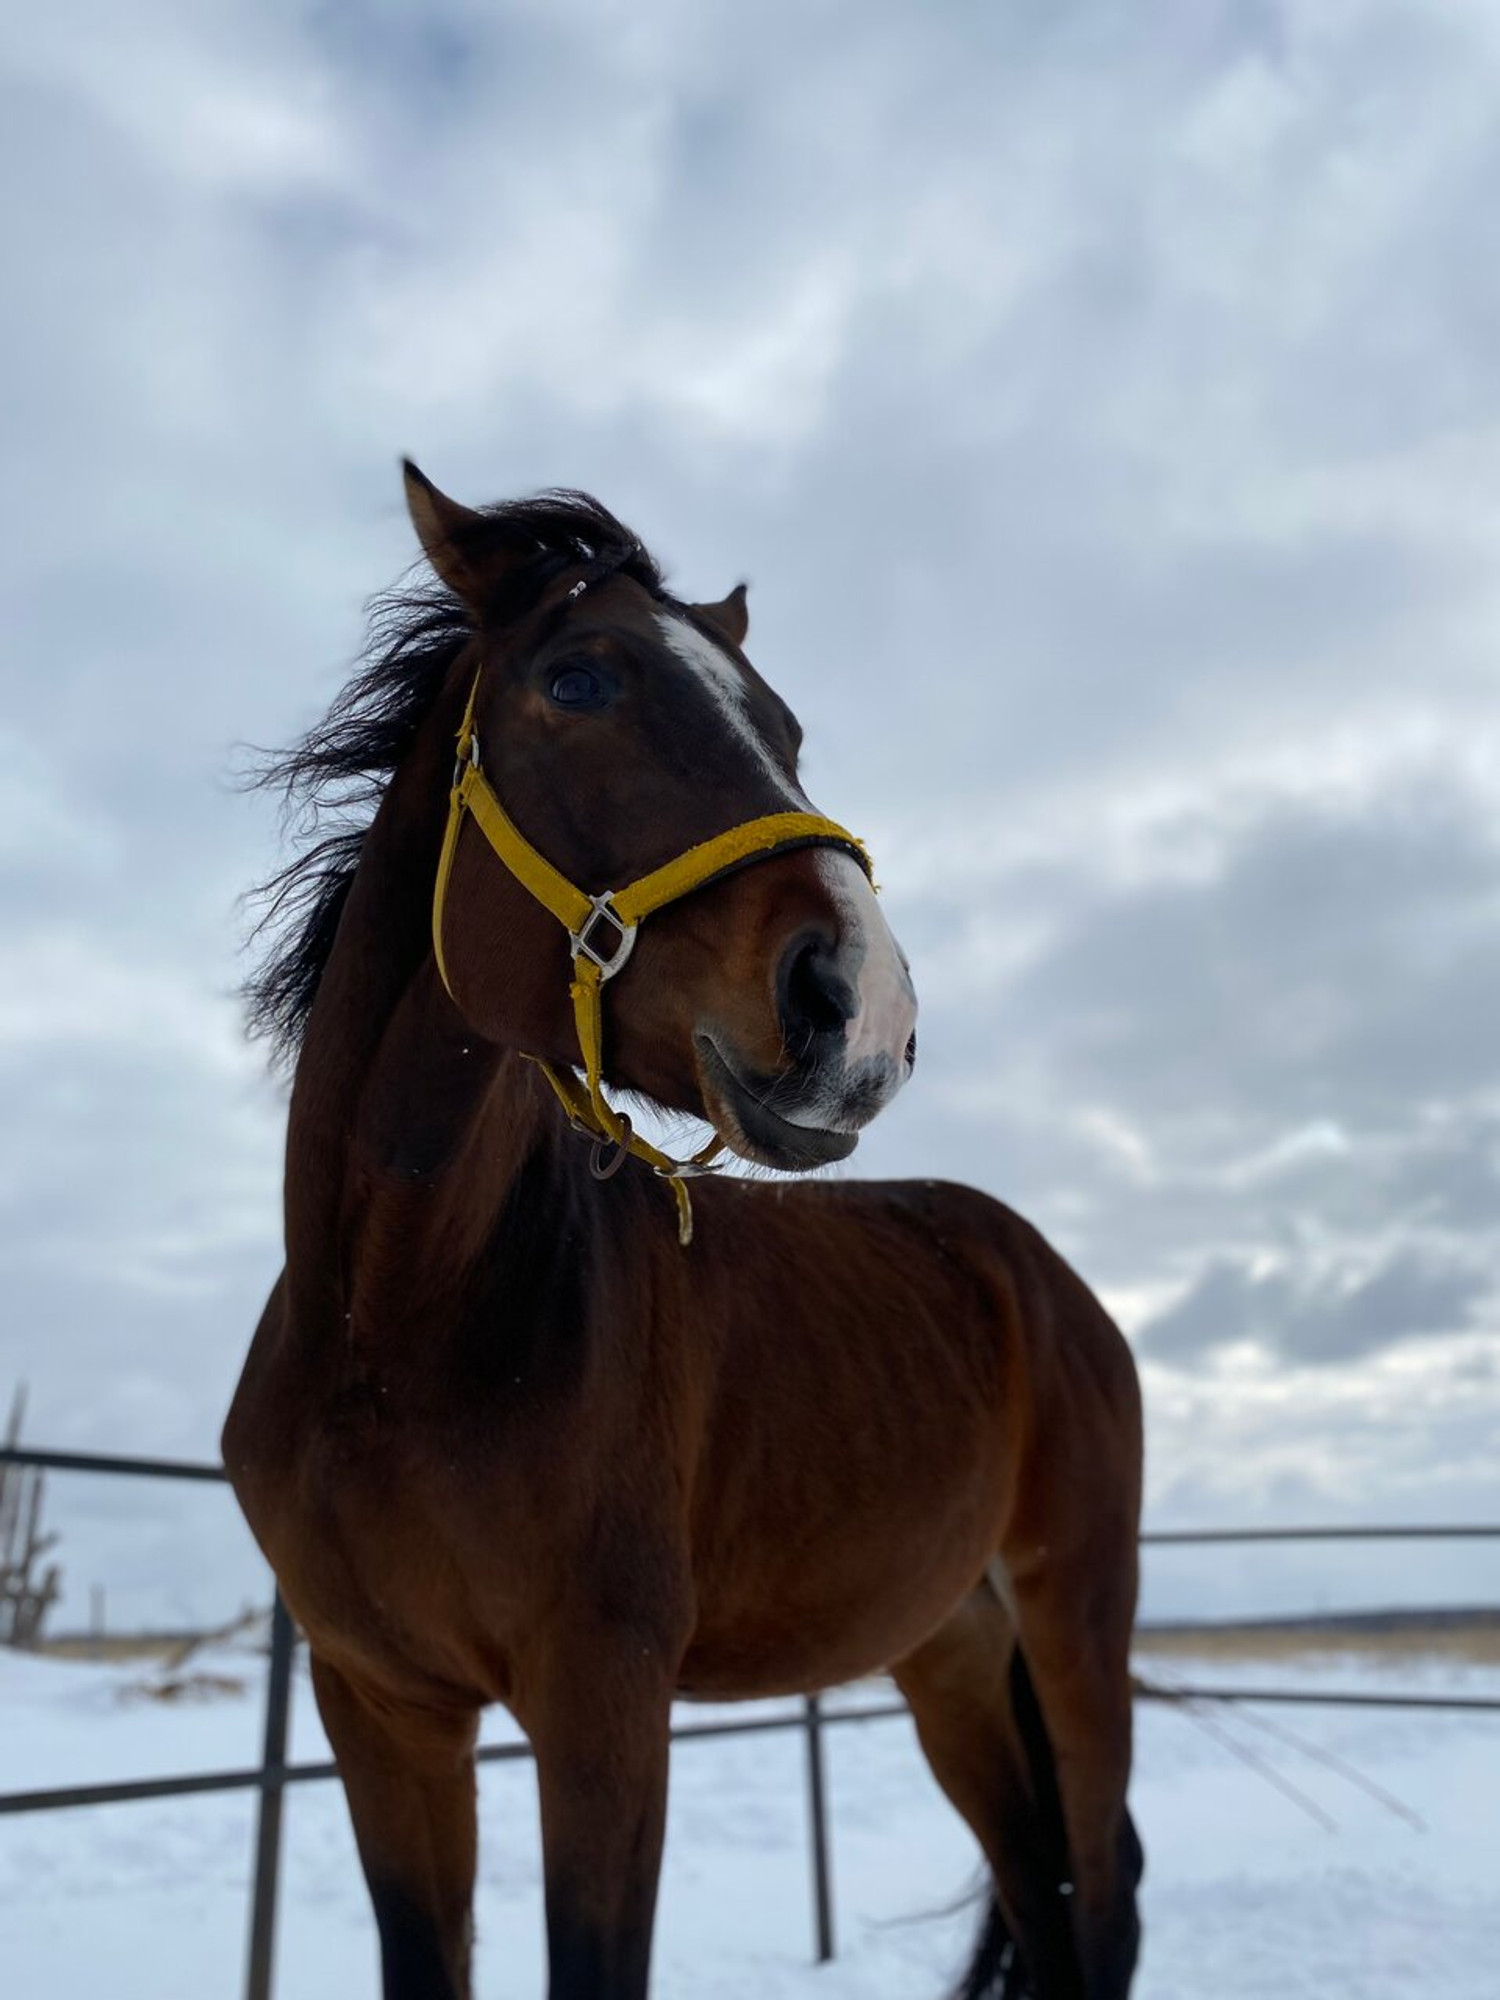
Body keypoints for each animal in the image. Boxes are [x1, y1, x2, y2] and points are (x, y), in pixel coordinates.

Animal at [223, 464, 1144, 2000]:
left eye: (784, 728)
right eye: (577, 680)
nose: (862, 1005)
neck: (395, 1331)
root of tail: (1046, 1278)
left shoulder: (604, 1699)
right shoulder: (383, 1708)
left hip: (1076, 1610)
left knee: (1106, 1889)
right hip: (950, 1651)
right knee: (1038, 1882)